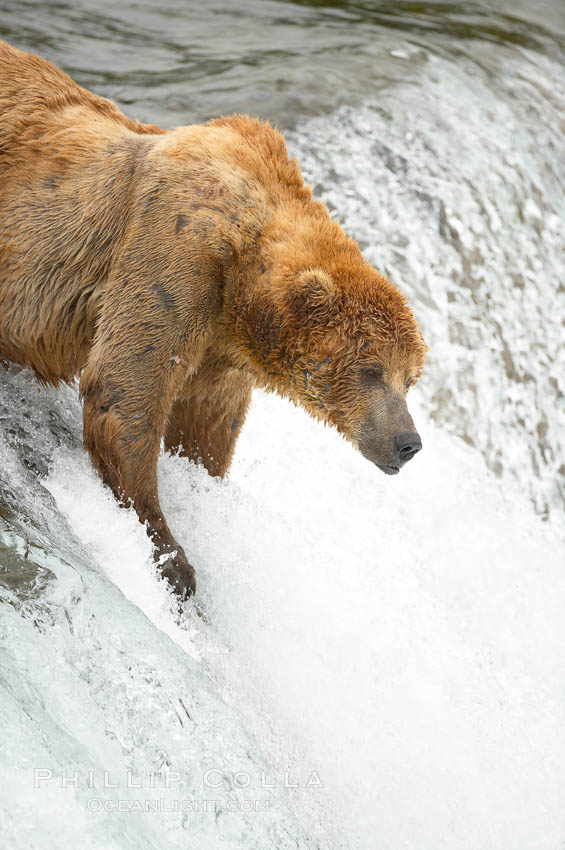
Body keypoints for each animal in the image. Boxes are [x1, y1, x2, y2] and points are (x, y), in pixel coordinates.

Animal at [0, 39, 424, 596]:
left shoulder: (221, 345)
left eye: (410, 379)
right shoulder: (176, 253)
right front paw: (171, 554)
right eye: (371, 370)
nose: (408, 442)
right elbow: (124, 388)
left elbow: (205, 426)